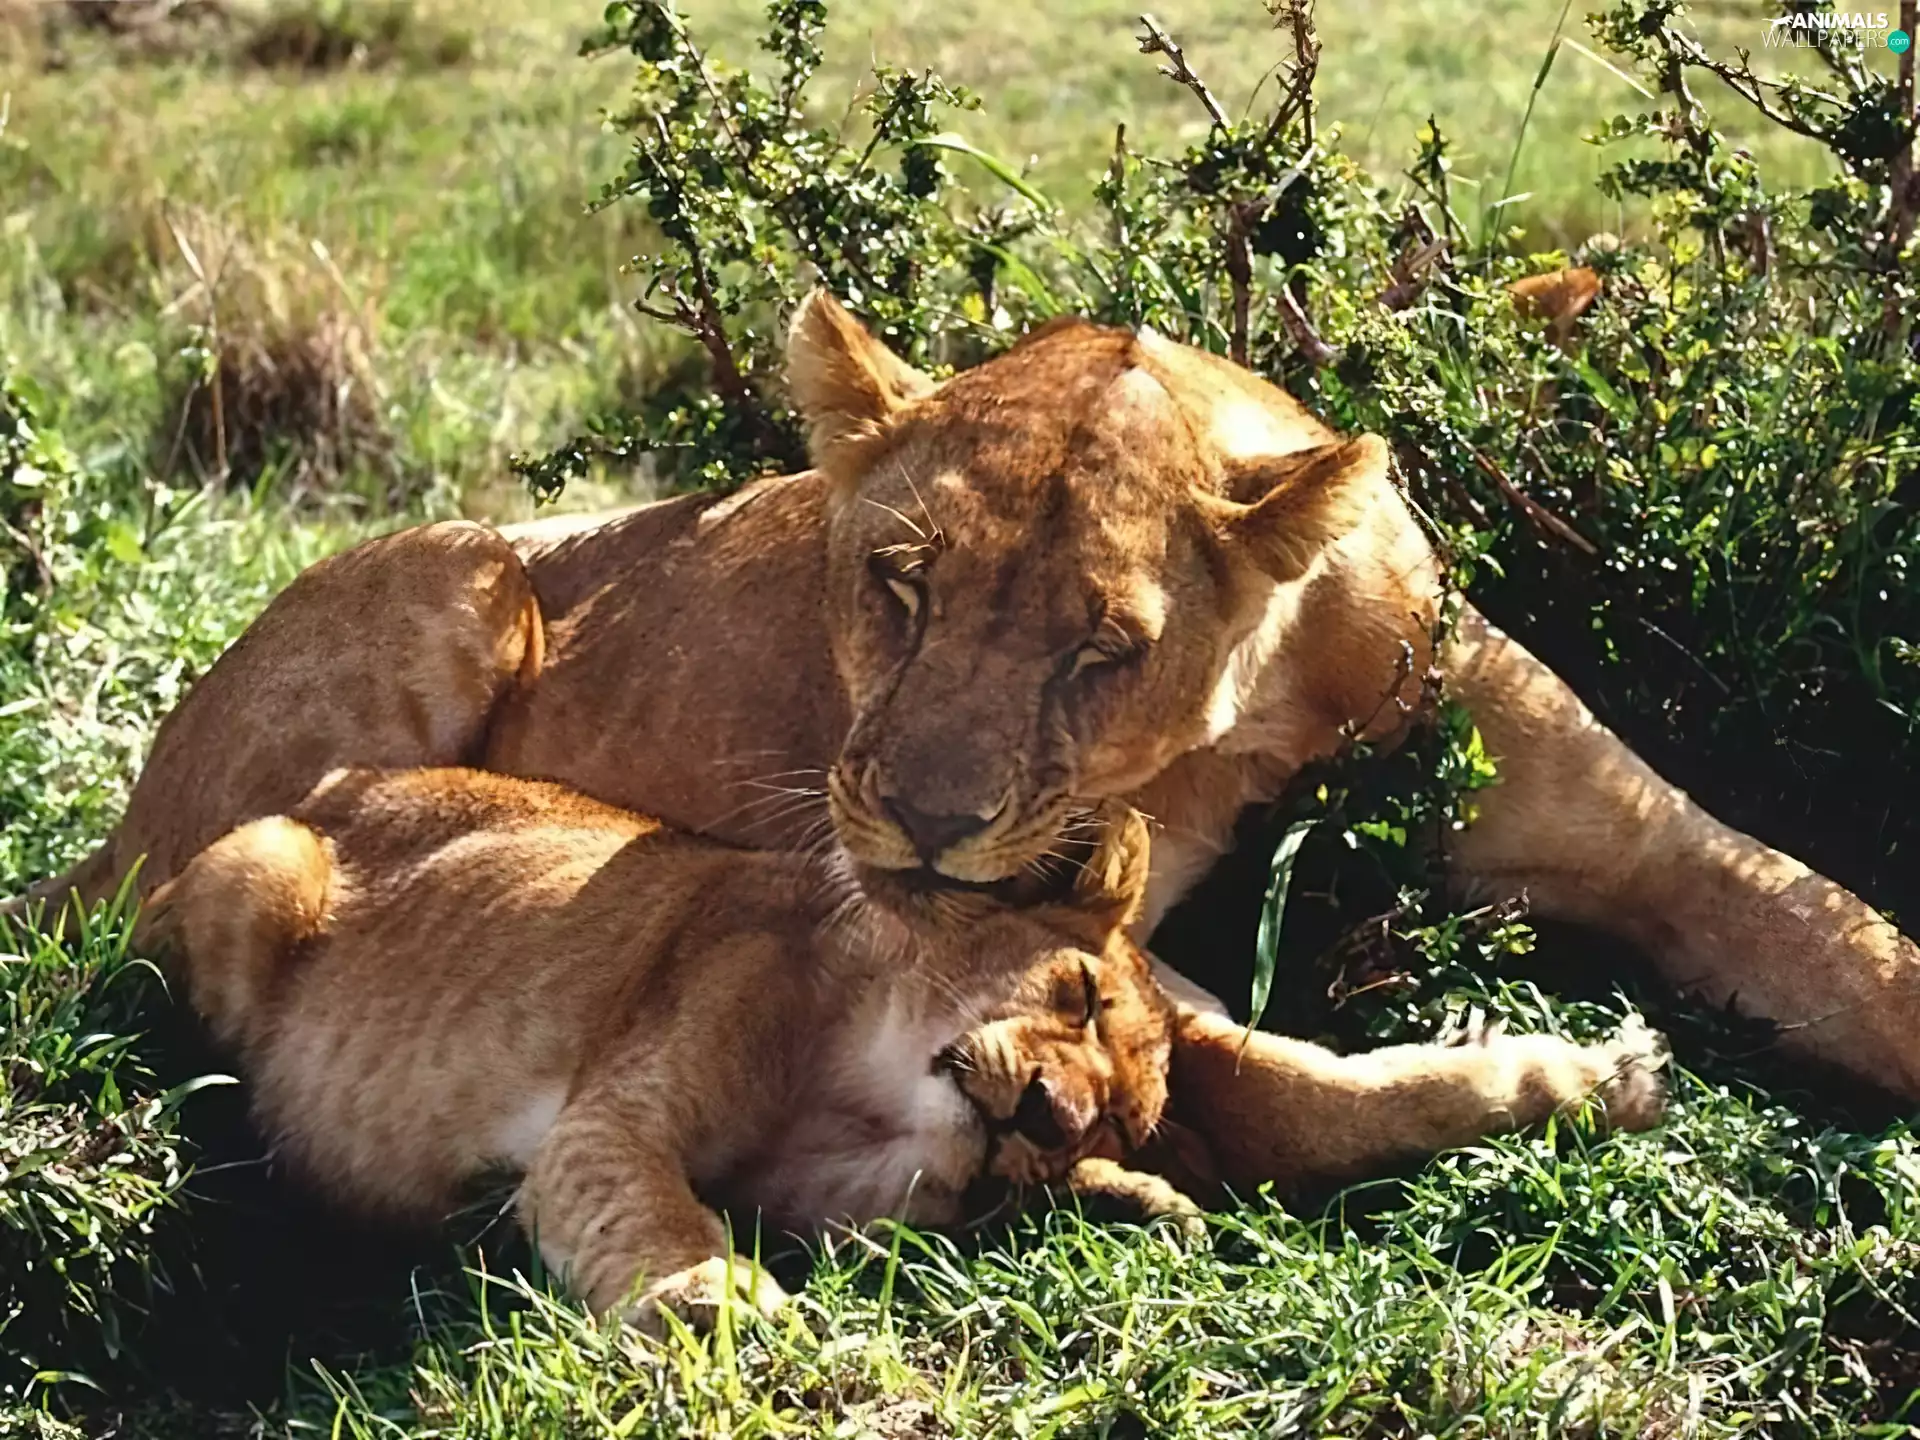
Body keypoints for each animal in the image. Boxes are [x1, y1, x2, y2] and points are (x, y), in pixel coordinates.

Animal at [24, 290, 1920, 1110]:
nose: (926, 829)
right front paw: (1543, 1071)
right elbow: (1237, 1048)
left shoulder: (1636, 833)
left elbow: (1841, 937)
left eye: (1104, 644)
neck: (1265, 719)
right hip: (461, 583)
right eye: (898, 585)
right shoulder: (1051, 908)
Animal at [137, 766, 1668, 1328]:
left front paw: (1598, 1074)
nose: (1050, 1115)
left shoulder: (859, 1203)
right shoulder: (608, 1125)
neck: (863, 1082)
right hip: (260, 871)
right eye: (1073, 990)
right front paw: (763, 1340)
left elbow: (1358, 1098)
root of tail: (341, 779)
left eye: (1116, 1107)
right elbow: (662, 1234)